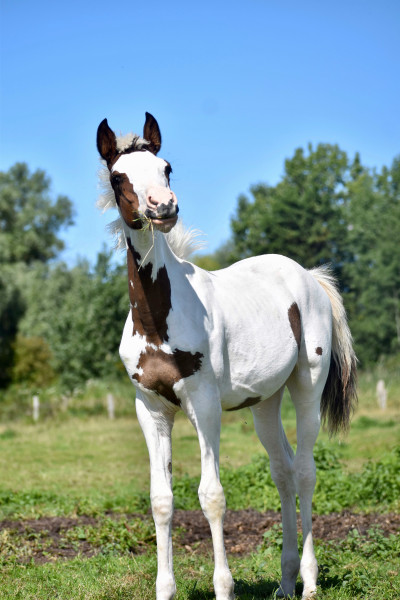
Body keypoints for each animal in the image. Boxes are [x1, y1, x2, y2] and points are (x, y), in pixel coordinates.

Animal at [96, 113, 356, 600]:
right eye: (118, 176)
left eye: (166, 167)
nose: (163, 207)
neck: (157, 318)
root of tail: (308, 276)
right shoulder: (151, 409)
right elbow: (162, 500)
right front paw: (165, 588)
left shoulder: (204, 404)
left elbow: (211, 495)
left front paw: (224, 586)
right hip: (266, 402)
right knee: (283, 471)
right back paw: (285, 582)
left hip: (307, 385)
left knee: (305, 471)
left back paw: (309, 582)